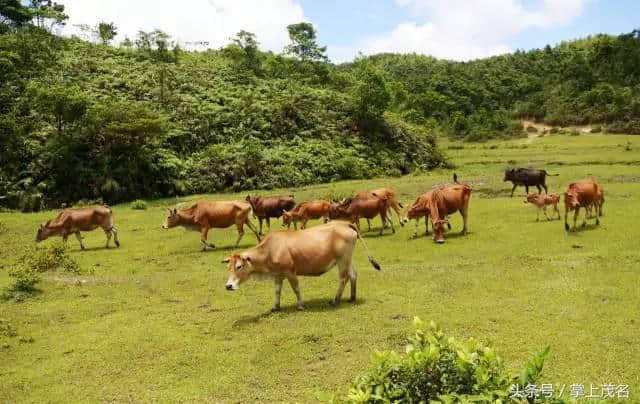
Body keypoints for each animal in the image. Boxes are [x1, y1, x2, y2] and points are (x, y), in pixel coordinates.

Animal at [224, 221, 380, 312]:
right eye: (229, 268)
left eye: (239, 266)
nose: (228, 286)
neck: (269, 249)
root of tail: (345, 223)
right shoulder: (277, 274)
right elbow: (277, 291)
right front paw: (276, 306)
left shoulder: (290, 272)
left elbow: (296, 289)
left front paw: (301, 305)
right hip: (347, 259)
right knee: (353, 274)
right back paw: (352, 297)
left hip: (342, 259)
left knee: (343, 278)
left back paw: (336, 300)